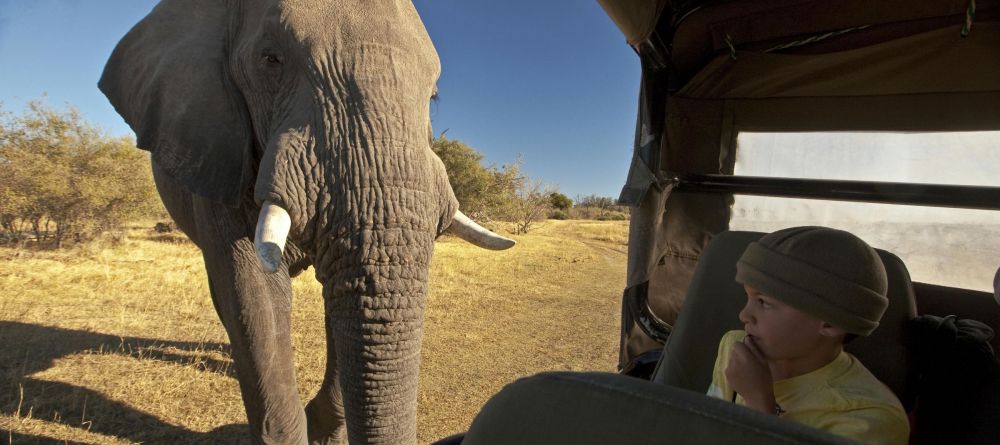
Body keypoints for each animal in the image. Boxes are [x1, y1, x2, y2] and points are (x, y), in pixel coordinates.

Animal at [99, 1, 516, 442]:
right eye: (270, 60)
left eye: (433, 96)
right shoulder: (221, 150)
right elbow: (255, 295)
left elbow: (344, 291)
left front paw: (325, 428)